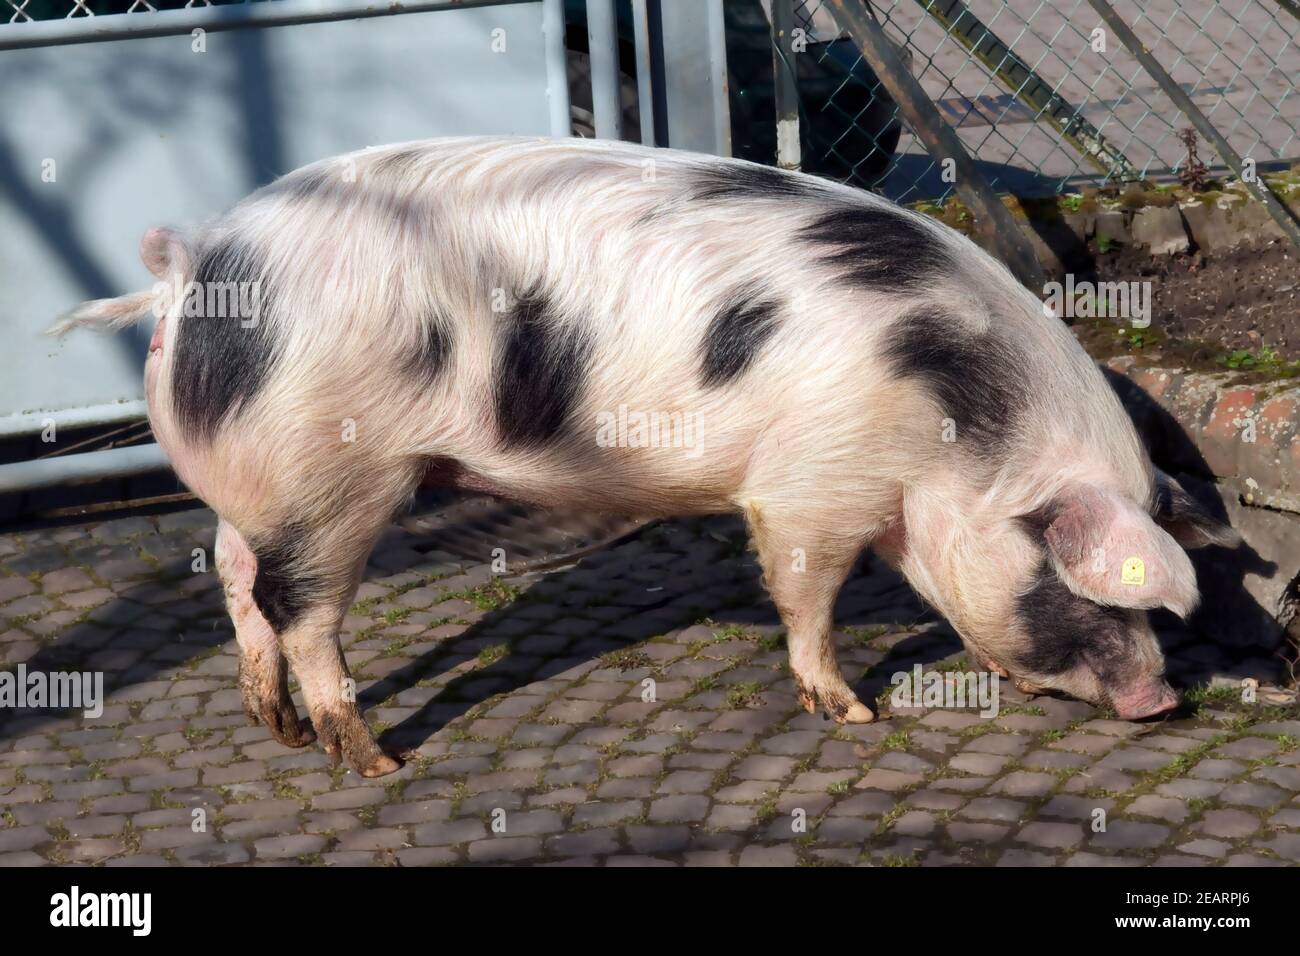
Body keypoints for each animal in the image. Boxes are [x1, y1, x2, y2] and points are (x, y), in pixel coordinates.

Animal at [50, 136, 1232, 780]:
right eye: (1081, 578)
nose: (1162, 701)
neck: (950, 427)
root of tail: (195, 267)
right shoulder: (810, 488)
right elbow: (804, 594)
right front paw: (852, 712)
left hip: (263, 480)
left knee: (236, 574)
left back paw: (280, 729)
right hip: (333, 476)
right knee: (300, 609)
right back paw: (373, 757)